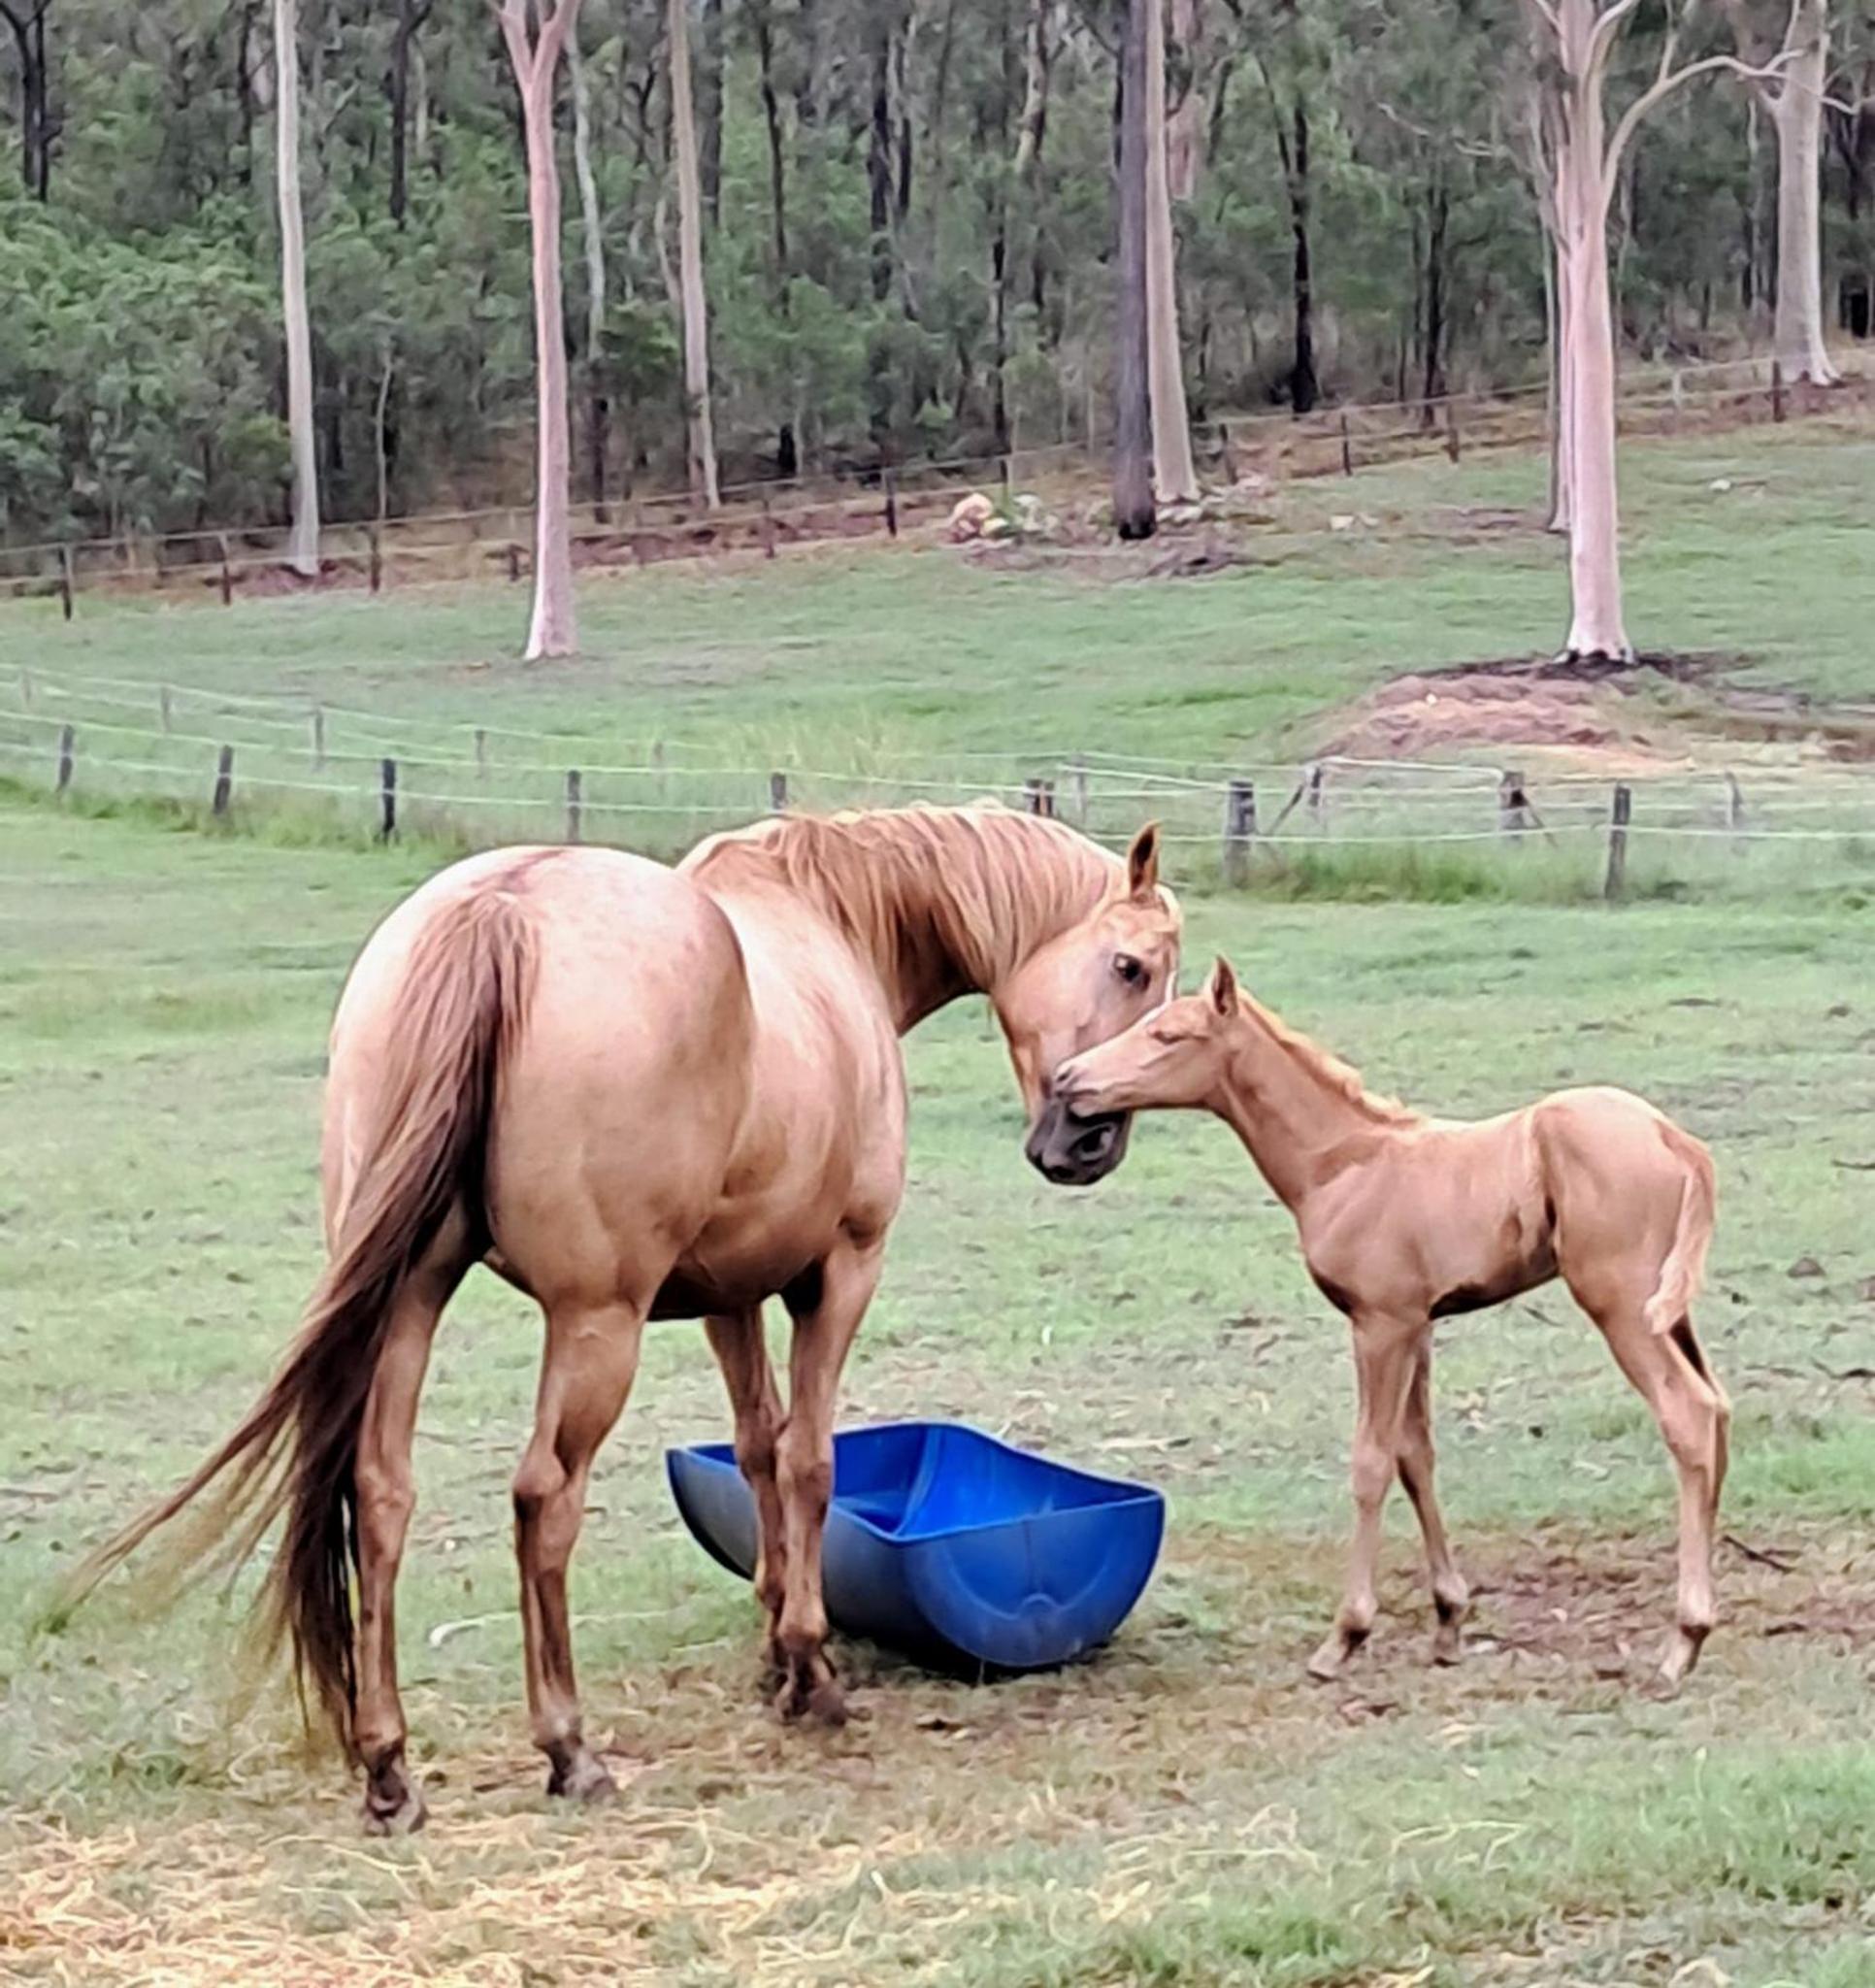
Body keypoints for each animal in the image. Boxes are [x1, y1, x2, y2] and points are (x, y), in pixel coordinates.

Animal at [63, 807, 1181, 1832]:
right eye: (1132, 967)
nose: (1087, 1142)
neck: (830, 925)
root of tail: (496, 915)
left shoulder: (730, 1293)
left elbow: (758, 1449)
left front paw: (776, 1647)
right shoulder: (838, 1271)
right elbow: (810, 1458)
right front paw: (810, 1668)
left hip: (412, 1295)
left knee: (380, 1495)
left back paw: (388, 1768)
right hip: (595, 1321)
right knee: (544, 1499)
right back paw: (569, 1748)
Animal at [1031, 954, 1727, 1689]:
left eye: (1167, 1035)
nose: (1070, 1079)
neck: (1345, 1163)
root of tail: (1675, 1139)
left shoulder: (1380, 1325)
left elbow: (1370, 1463)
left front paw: (1345, 1636)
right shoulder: (1419, 1325)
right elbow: (1415, 1456)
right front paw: (1449, 1622)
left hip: (1621, 1306)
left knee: (1687, 1415)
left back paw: (1685, 1636)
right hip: (1667, 1310)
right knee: (1718, 1409)